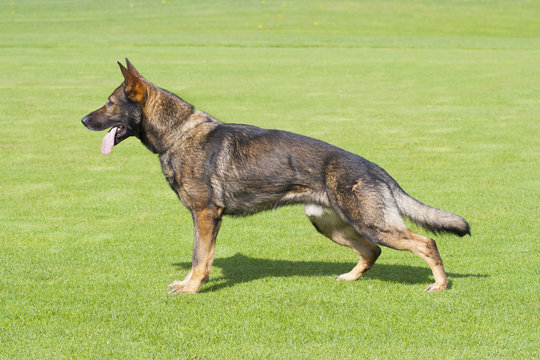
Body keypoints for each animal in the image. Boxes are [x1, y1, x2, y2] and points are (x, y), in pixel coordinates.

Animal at [80, 59, 468, 294]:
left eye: (110, 103)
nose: (82, 120)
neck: (178, 133)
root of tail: (373, 167)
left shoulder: (206, 216)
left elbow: (200, 258)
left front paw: (192, 288)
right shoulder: (200, 218)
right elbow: (196, 256)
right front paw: (188, 283)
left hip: (371, 223)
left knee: (426, 243)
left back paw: (441, 285)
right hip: (331, 224)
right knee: (372, 251)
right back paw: (350, 276)